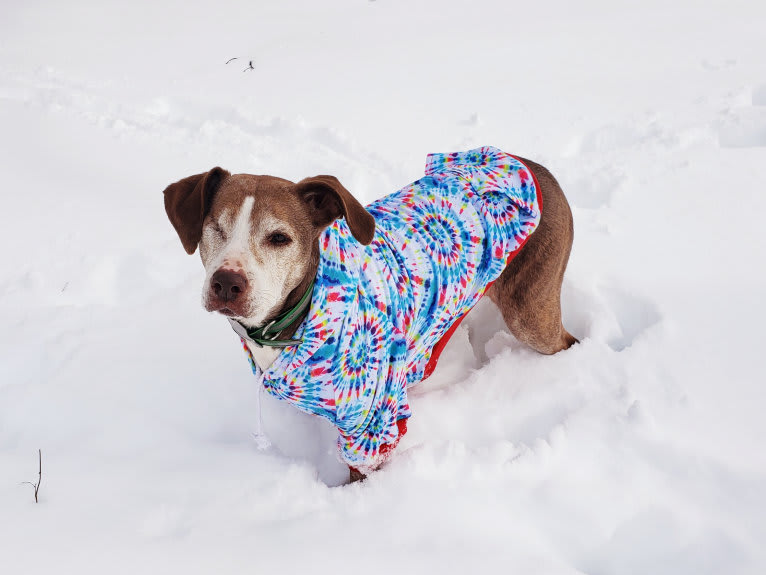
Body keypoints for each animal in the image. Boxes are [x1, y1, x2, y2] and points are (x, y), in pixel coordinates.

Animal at [164, 145, 576, 482]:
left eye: (279, 238)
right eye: (215, 227)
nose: (226, 282)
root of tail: (532, 165)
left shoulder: (372, 423)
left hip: (531, 313)